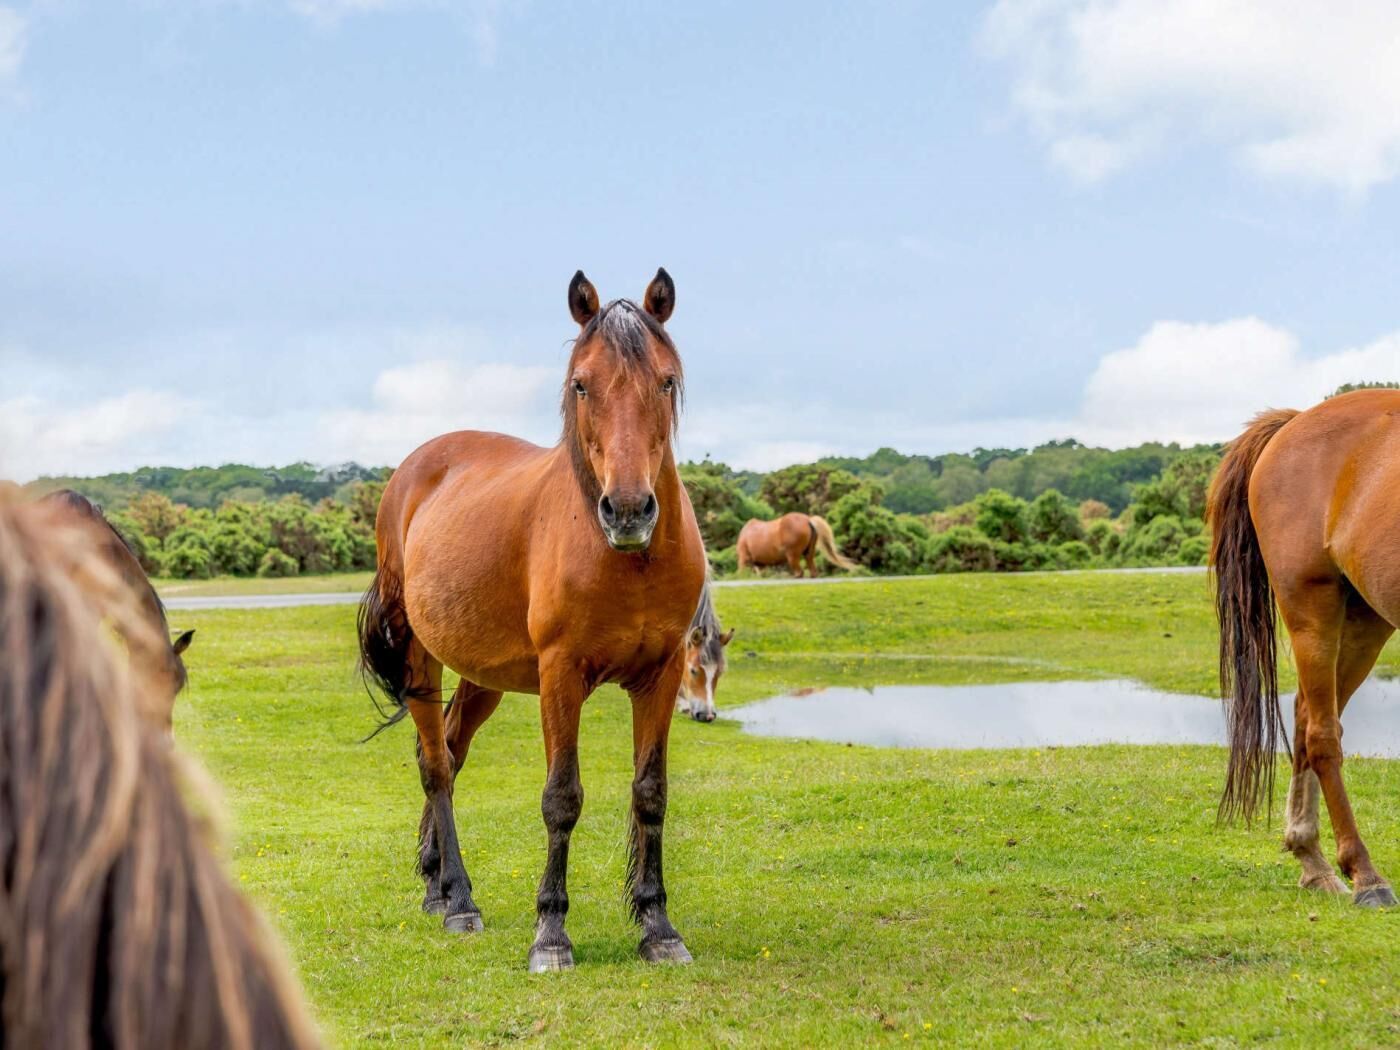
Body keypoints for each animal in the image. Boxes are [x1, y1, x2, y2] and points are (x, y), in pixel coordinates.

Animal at [359, 269, 709, 971]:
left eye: (665, 380)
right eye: (582, 384)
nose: (628, 511)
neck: (628, 563)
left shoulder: (661, 675)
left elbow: (650, 793)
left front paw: (658, 926)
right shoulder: (560, 676)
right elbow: (561, 798)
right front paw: (551, 932)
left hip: (481, 677)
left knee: (450, 749)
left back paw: (436, 885)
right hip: (418, 657)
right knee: (437, 767)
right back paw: (460, 901)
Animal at [1209, 388, 1400, 907]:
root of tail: (1295, 421)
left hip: (1365, 619)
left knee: (1305, 719)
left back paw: (1312, 860)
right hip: (1312, 610)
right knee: (1321, 737)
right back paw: (1365, 875)